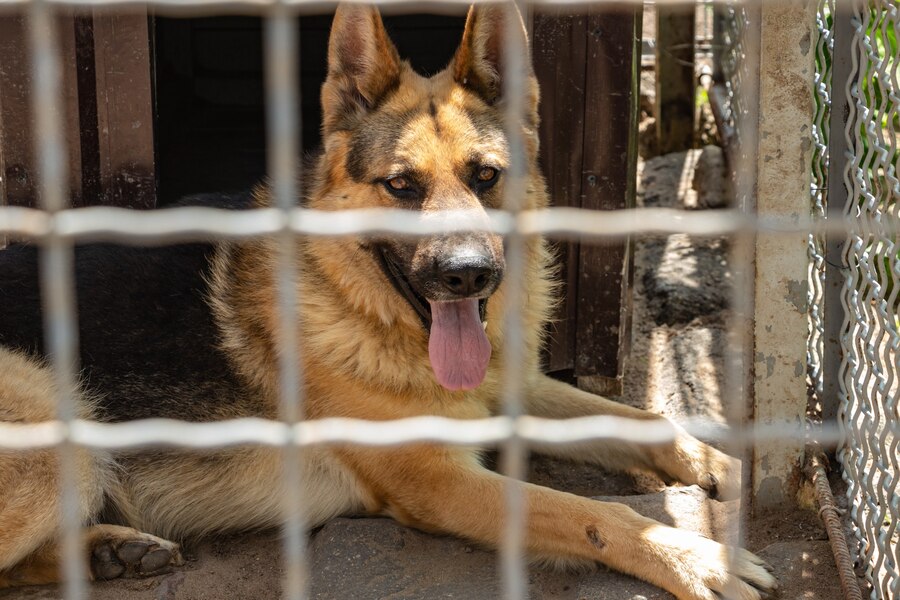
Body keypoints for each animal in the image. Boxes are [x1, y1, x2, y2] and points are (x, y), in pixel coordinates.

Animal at [0, 5, 772, 600]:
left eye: (485, 176)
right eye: (401, 186)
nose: (467, 276)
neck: (364, 313)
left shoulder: (516, 387)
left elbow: (644, 421)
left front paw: (732, 468)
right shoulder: (439, 483)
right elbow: (589, 512)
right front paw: (698, 558)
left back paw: (108, 552)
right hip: (57, 425)